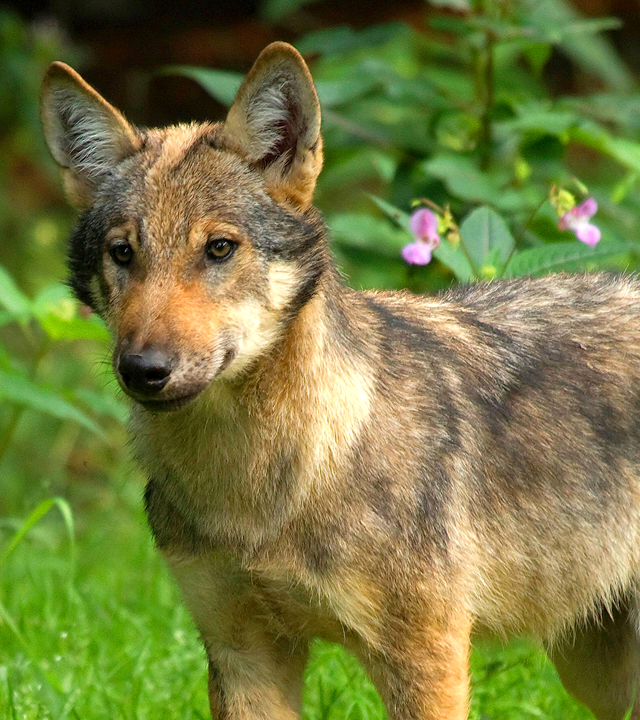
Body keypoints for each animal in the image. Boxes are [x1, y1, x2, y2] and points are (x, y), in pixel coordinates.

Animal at [41, 42, 640, 719]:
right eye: (123, 253)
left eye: (219, 249)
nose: (143, 369)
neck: (262, 490)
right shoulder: (243, 655)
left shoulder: (426, 659)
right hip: (595, 673)